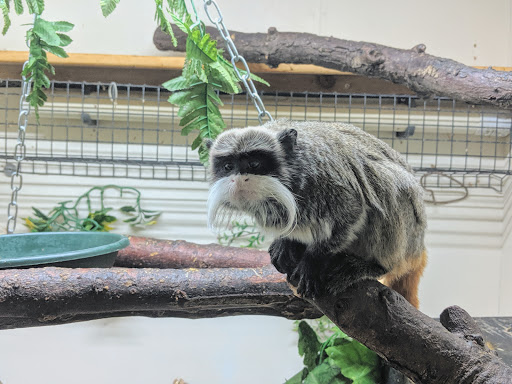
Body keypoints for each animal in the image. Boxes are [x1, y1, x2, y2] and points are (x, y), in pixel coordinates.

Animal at [206, 118, 426, 308]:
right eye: (228, 166)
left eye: (254, 164)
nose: (239, 179)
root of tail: (418, 246)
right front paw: (286, 243)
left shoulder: (325, 180)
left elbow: (353, 211)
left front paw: (312, 261)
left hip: (408, 235)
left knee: (387, 182)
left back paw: (373, 265)